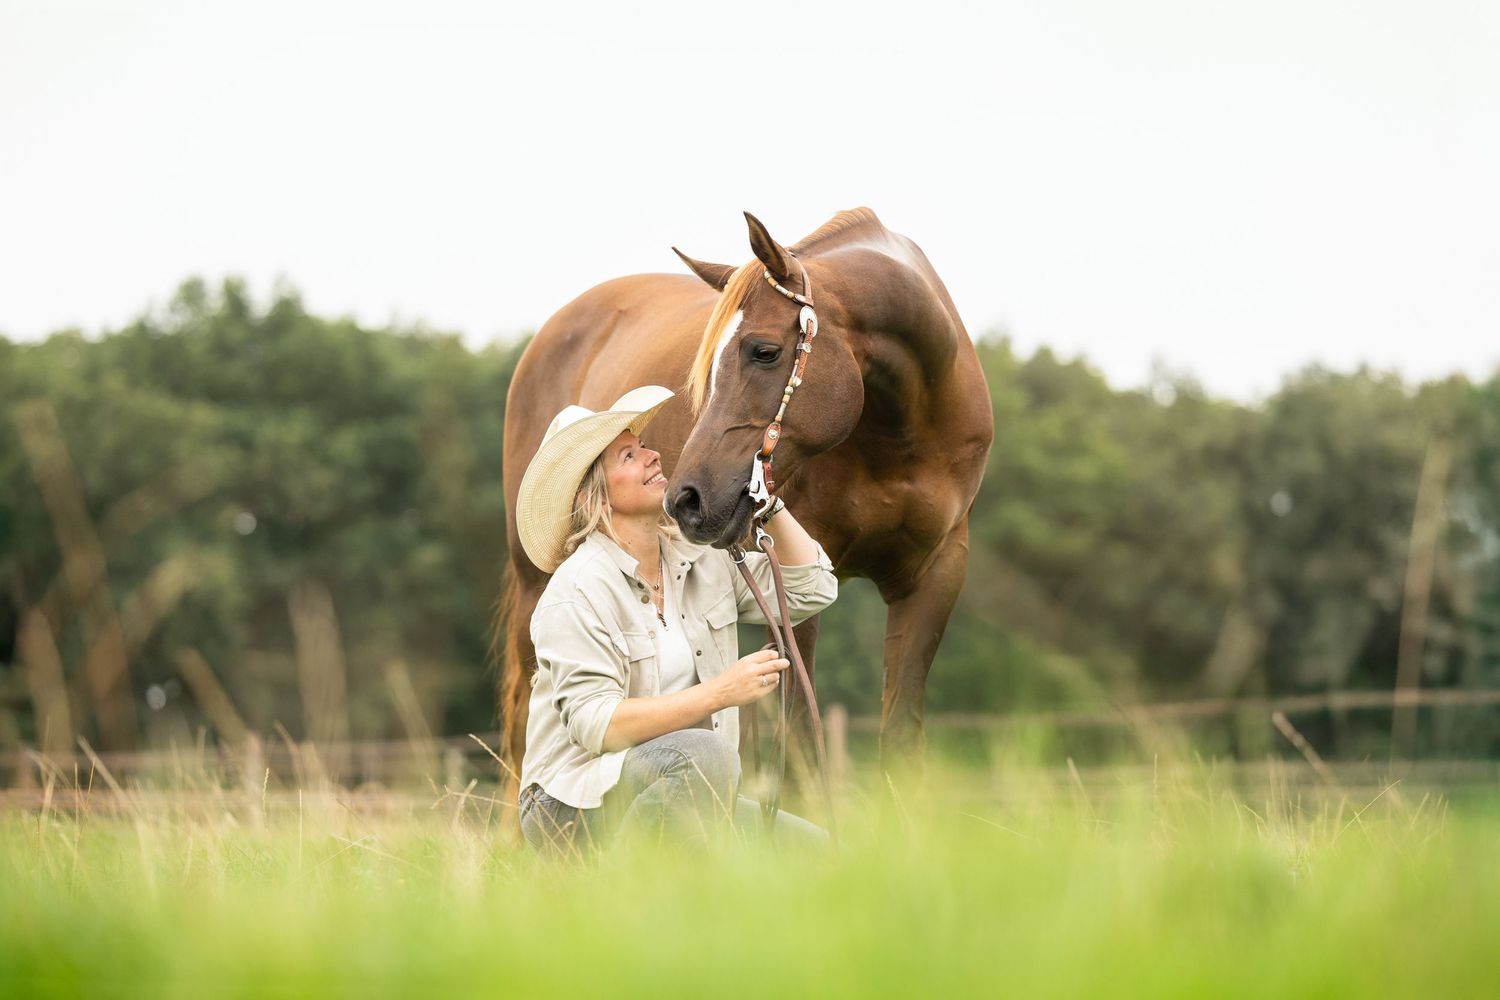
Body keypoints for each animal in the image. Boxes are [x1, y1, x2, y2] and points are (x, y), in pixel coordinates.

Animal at [497, 208, 993, 796]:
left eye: (765, 351)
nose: (686, 499)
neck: (900, 433)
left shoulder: (935, 574)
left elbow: (897, 739)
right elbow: (799, 748)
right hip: (535, 584)